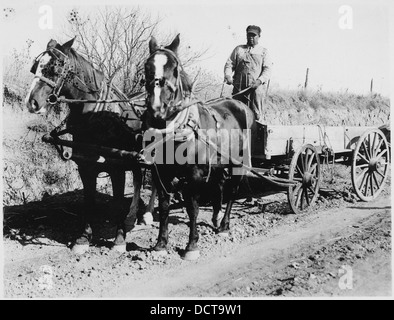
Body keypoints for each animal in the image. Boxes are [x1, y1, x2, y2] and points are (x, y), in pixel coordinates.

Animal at [25, 38, 155, 252]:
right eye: (35, 67)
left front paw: (119, 240)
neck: (96, 117)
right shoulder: (85, 166)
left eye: (55, 68)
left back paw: (147, 215)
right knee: (138, 178)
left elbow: (117, 202)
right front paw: (83, 238)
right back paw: (132, 216)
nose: (31, 103)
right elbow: (88, 201)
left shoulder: (116, 167)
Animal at [142, 35, 255, 260]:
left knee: (232, 191)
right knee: (219, 185)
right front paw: (160, 244)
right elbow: (165, 205)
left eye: (174, 68)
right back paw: (215, 217)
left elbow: (192, 207)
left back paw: (224, 225)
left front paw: (192, 245)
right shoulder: (161, 173)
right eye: (147, 67)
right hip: (218, 163)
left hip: (238, 162)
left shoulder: (194, 175)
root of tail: (241, 105)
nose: (157, 109)